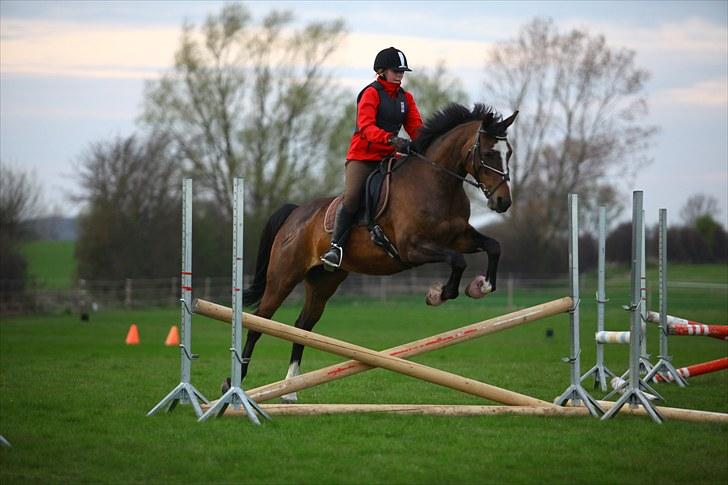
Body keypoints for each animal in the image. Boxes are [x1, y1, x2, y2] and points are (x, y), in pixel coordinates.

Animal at [233, 103, 516, 400]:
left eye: (508, 153)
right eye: (488, 153)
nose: (502, 202)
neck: (437, 183)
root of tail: (295, 212)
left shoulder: (459, 237)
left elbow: (493, 247)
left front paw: (481, 286)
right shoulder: (412, 248)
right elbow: (458, 261)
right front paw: (439, 293)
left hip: (323, 281)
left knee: (302, 326)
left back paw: (289, 389)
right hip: (284, 276)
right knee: (259, 321)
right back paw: (237, 381)